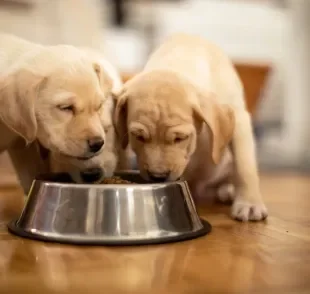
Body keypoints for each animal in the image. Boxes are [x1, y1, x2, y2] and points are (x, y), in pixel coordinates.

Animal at [114, 33, 266, 222]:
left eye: (180, 138)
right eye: (138, 136)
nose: (158, 176)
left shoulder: (238, 119)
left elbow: (244, 165)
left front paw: (249, 203)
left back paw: (228, 189)